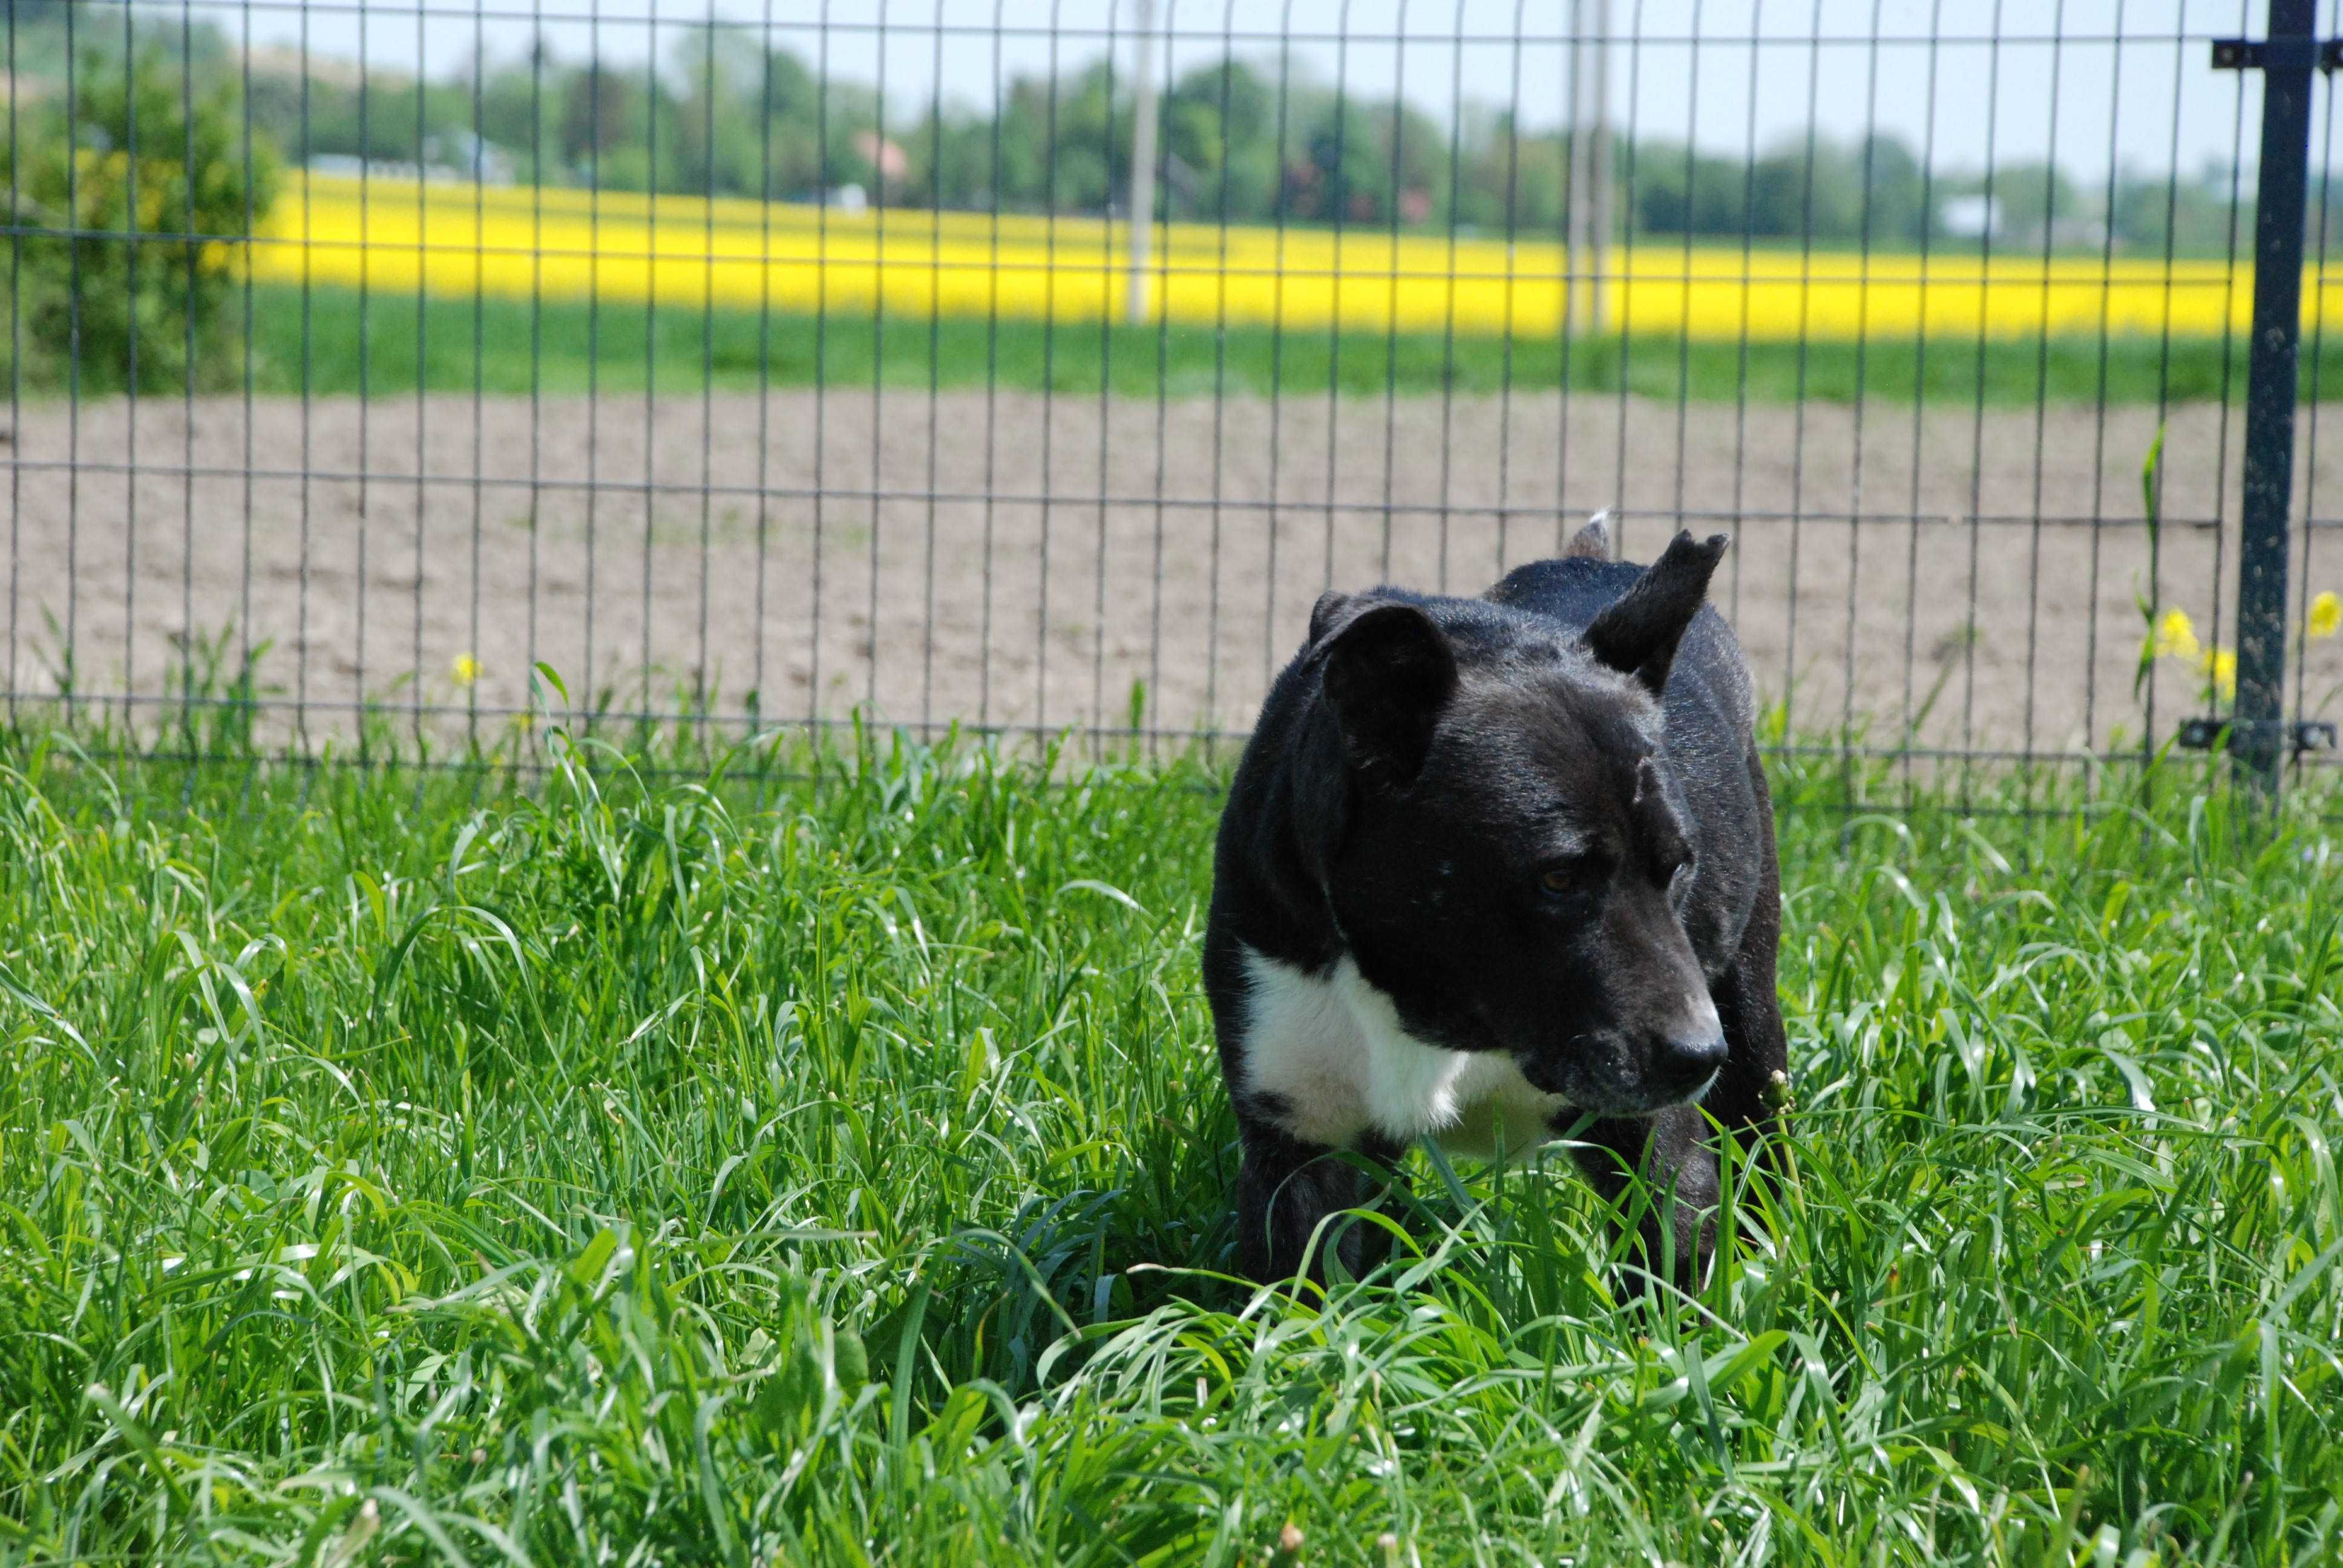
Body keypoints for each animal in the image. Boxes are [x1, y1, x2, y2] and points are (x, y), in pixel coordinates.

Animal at [1208, 520, 1790, 1275]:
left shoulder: (1658, 1157)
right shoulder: (1298, 1150)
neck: (1435, 1002)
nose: (1696, 1057)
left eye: (1679, 865)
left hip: (1750, 1027)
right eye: (1557, 878)